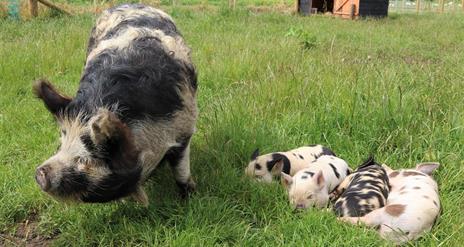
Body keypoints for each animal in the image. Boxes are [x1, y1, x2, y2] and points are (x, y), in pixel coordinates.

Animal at [33, 4, 197, 205]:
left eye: (85, 160)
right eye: (61, 144)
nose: (40, 173)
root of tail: (128, 4)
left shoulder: (184, 127)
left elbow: (181, 169)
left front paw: (189, 198)